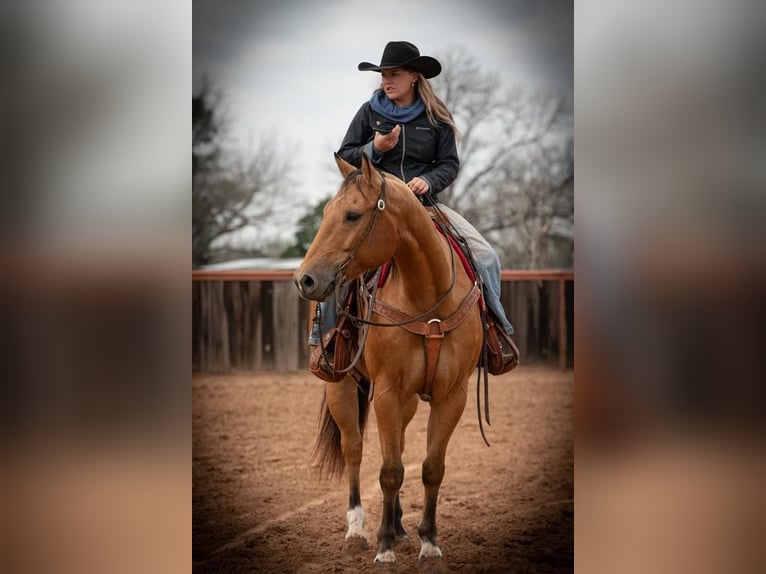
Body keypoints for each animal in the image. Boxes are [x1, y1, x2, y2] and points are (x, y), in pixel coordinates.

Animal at [296, 153, 486, 572]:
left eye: (352, 215)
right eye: (326, 212)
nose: (304, 279)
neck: (429, 299)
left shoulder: (452, 395)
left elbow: (430, 468)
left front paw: (429, 543)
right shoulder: (385, 391)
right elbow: (389, 470)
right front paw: (383, 546)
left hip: (409, 401)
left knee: (395, 443)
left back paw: (398, 525)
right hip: (341, 388)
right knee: (354, 449)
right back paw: (357, 529)